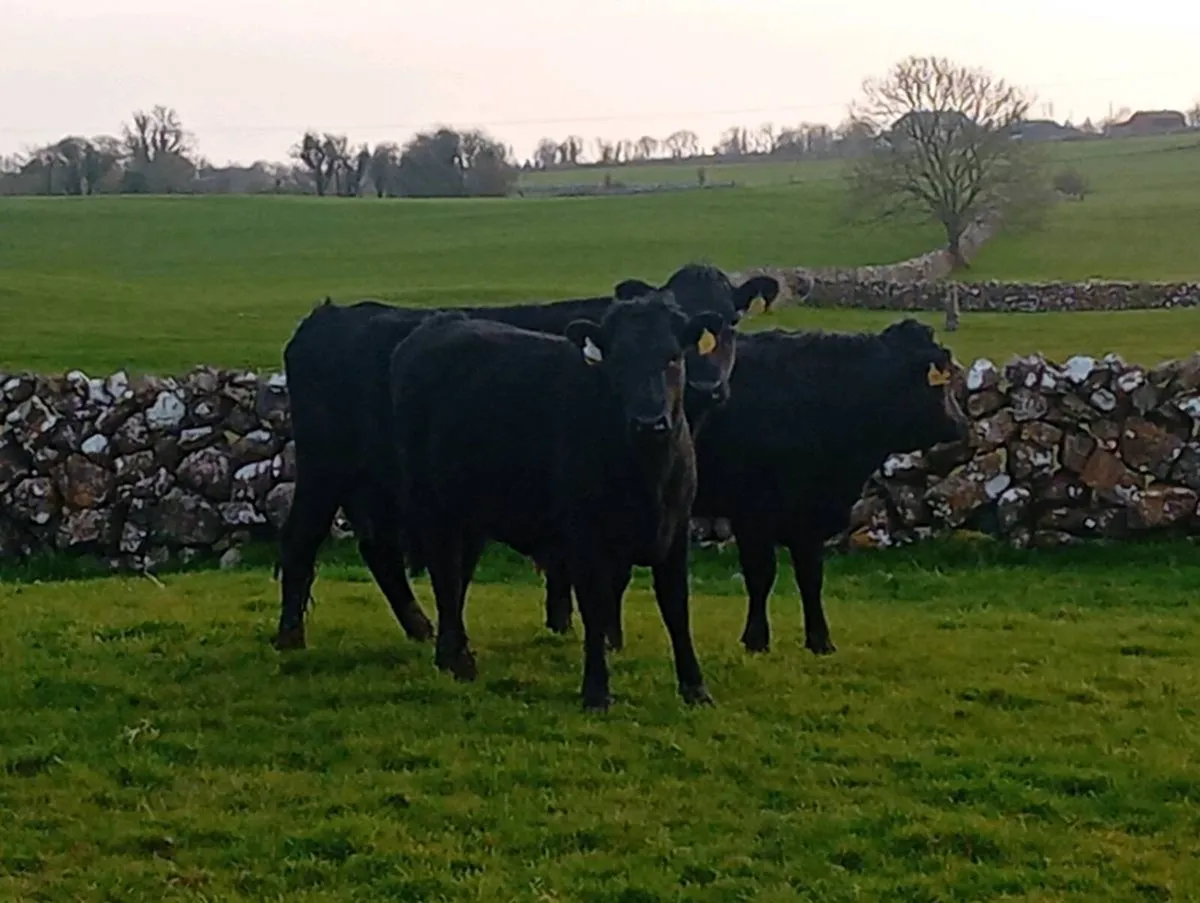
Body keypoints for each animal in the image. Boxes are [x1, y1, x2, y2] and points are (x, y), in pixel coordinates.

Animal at [271, 264, 784, 652]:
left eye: (731, 321)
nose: (707, 385)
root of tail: (328, 315)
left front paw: (567, 625)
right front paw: (598, 634)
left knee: (379, 550)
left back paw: (420, 627)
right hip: (324, 470)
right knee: (301, 541)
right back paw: (291, 636)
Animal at [389, 292, 726, 710]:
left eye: (673, 358)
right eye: (617, 360)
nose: (649, 421)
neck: (646, 473)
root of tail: (439, 323)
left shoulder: (675, 531)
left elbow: (676, 608)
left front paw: (695, 688)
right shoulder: (585, 538)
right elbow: (595, 608)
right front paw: (596, 691)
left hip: (472, 516)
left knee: (459, 576)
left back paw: (449, 657)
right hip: (434, 508)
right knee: (445, 576)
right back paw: (460, 660)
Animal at [543, 317, 972, 656]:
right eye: (939, 382)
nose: (964, 425)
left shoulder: (808, 518)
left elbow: (810, 578)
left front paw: (820, 640)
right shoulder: (754, 514)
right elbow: (761, 575)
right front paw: (756, 639)